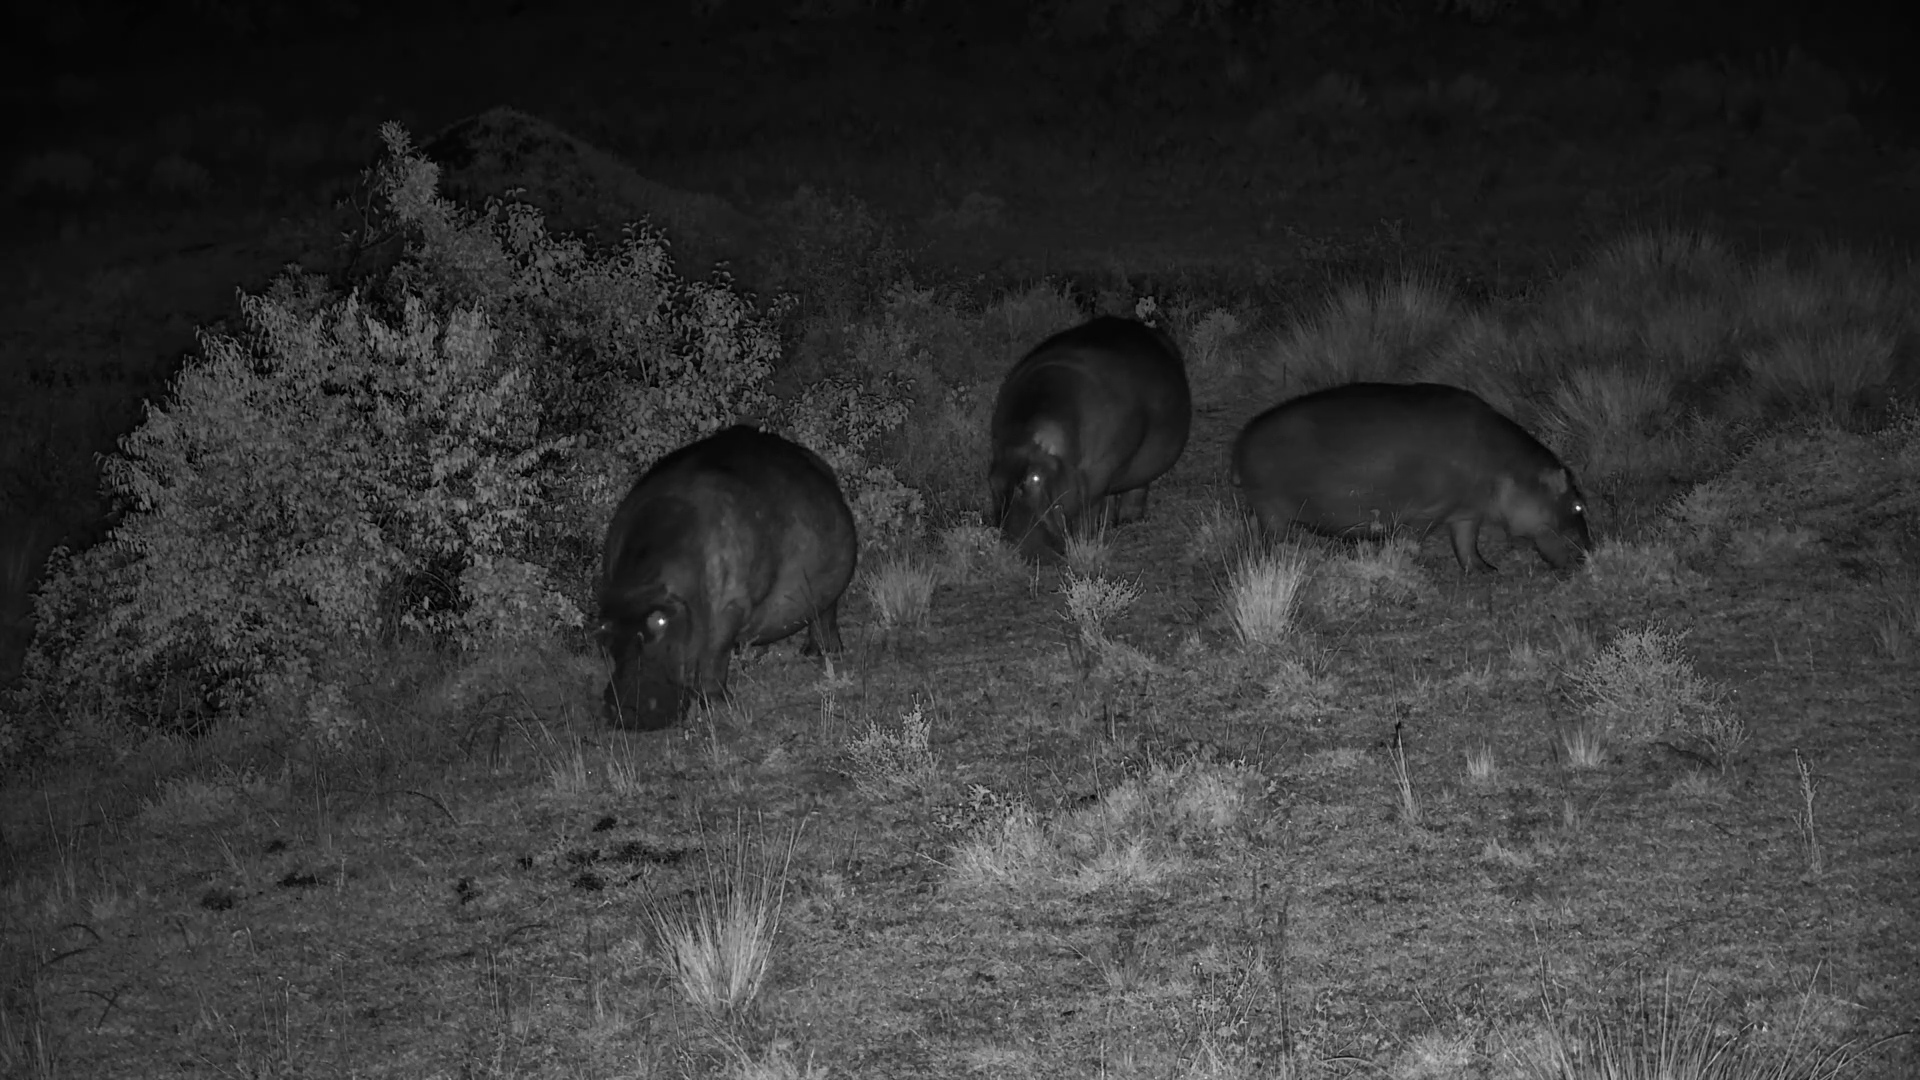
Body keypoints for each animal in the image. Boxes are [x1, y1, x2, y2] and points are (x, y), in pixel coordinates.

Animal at [597, 425, 858, 730]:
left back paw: (823, 653)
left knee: (825, 615)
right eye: (604, 630)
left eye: (660, 620)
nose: (626, 710)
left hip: (828, 589)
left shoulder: (728, 607)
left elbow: (714, 655)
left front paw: (716, 704)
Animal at [988, 316, 1193, 559]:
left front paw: (1084, 541)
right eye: (992, 479)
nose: (1015, 545)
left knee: (1137, 488)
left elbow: (1088, 514)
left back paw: (1128, 521)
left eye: (1036, 478)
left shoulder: (1096, 480)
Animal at [1230, 382, 1592, 572]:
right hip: (1271, 512)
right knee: (1272, 542)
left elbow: (1467, 544)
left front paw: (1487, 570)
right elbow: (1412, 541)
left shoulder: (1465, 512)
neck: (1510, 468)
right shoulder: (1426, 512)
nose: (1591, 552)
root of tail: (1242, 438)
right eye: (1578, 506)